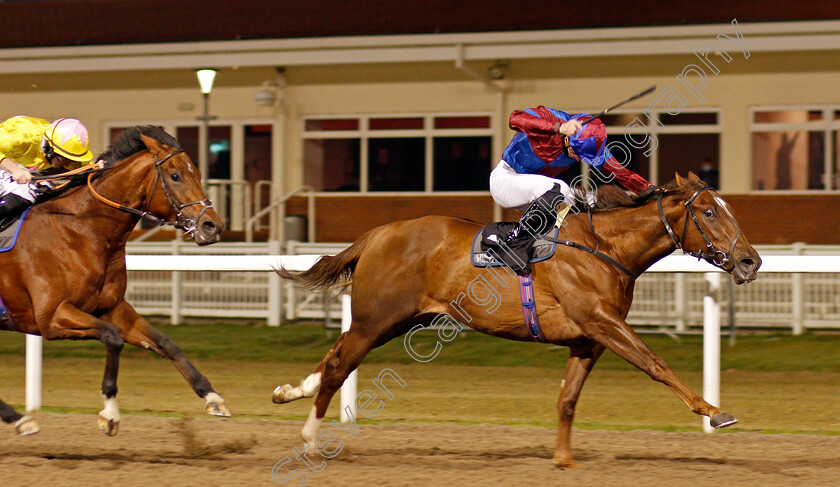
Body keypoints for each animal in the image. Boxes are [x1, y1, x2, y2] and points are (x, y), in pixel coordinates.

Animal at [0, 126, 228, 438]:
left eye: (199, 174)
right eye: (175, 176)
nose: (212, 226)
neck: (84, 231)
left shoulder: (113, 308)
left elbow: (166, 343)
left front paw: (212, 397)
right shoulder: (51, 317)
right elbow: (112, 337)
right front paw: (110, 412)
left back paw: (19, 418)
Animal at [274, 173, 760, 468]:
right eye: (710, 212)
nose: (750, 260)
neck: (605, 247)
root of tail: (378, 234)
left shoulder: (588, 340)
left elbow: (567, 399)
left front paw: (563, 459)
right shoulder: (602, 323)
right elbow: (655, 364)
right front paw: (714, 412)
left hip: (395, 322)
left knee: (336, 353)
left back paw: (290, 391)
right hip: (376, 320)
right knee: (340, 366)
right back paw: (310, 438)